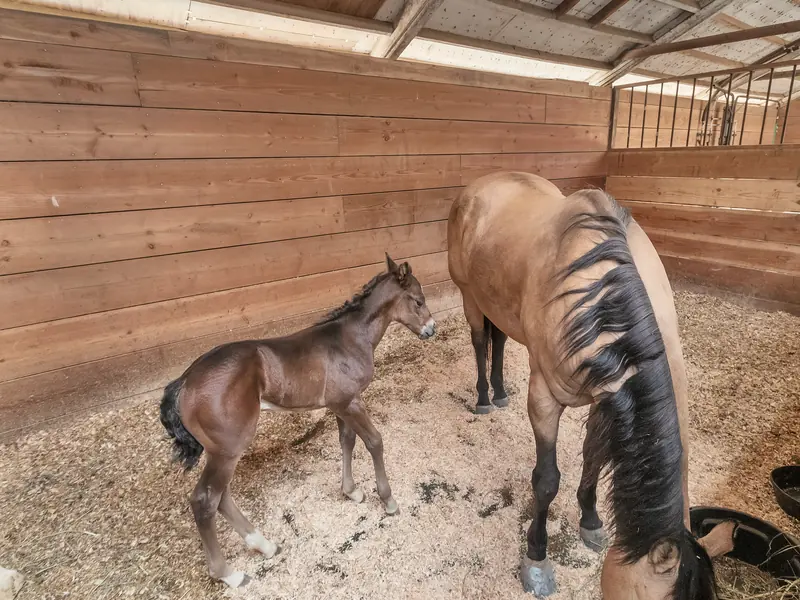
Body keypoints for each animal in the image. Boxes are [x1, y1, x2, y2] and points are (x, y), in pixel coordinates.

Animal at [159, 255, 436, 588]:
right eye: (418, 300)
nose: (431, 329)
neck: (350, 339)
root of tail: (184, 382)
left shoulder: (341, 403)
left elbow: (347, 441)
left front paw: (352, 491)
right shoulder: (351, 402)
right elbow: (374, 441)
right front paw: (389, 500)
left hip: (221, 452)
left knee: (220, 497)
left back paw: (264, 545)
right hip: (228, 449)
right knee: (205, 500)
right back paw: (230, 574)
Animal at [447, 172, 721, 599]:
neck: (599, 296)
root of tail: (478, 186)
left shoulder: (605, 396)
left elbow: (593, 457)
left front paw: (590, 521)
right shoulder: (544, 397)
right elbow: (546, 481)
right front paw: (537, 560)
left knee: (500, 340)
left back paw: (500, 391)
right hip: (469, 295)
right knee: (479, 341)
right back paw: (483, 398)